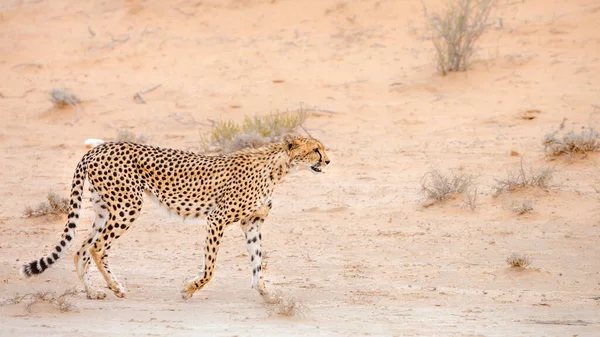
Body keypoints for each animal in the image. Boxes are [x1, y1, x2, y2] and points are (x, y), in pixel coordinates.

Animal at [18, 135, 330, 298]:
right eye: (315, 149)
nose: (327, 160)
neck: (278, 169)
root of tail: (99, 147)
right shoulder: (217, 219)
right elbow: (210, 269)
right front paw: (190, 289)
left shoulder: (251, 222)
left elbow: (257, 261)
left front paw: (265, 294)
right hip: (127, 205)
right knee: (96, 247)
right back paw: (116, 287)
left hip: (104, 208)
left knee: (80, 248)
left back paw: (93, 292)